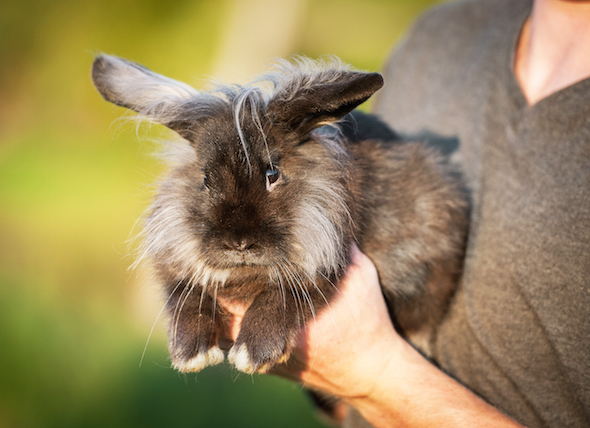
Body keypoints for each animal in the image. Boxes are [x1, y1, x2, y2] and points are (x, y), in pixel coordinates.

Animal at [91, 55, 468, 376]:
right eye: (205, 179)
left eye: (272, 174)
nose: (238, 243)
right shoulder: (178, 271)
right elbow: (186, 297)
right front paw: (190, 353)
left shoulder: (324, 263)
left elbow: (283, 296)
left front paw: (254, 352)